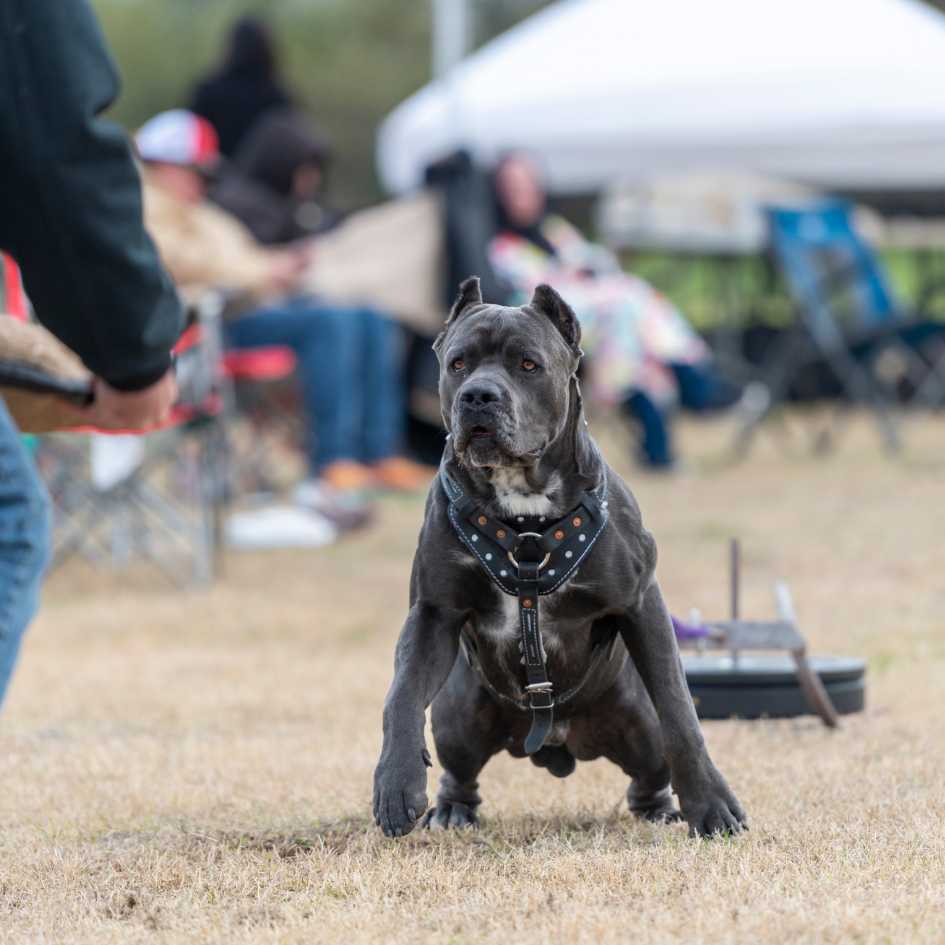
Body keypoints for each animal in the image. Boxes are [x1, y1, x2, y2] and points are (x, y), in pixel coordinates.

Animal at [372, 276, 748, 836]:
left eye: (528, 364)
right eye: (458, 363)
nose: (478, 395)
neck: (523, 513)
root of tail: (555, 740)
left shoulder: (641, 604)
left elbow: (681, 711)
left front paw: (711, 805)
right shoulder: (432, 614)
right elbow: (400, 695)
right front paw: (396, 783)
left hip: (638, 725)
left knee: (649, 770)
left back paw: (662, 810)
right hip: (459, 716)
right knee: (460, 769)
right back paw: (452, 809)